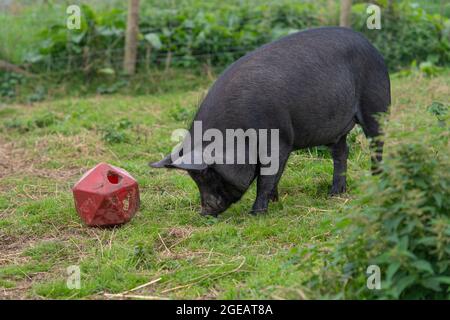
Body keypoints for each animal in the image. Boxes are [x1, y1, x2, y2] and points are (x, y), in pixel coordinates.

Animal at [151, 27, 390, 216]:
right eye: (195, 178)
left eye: (207, 175)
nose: (204, 212)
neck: (238, 134)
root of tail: (371, 45)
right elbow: (272, 175)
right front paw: (275, 201)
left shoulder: (278, 139)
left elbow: (267, 176)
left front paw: (256, 213)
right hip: (336, 129)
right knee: (341, 152)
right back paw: (334, 194)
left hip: (376, 105)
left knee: (377, 143)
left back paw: (377, 178)